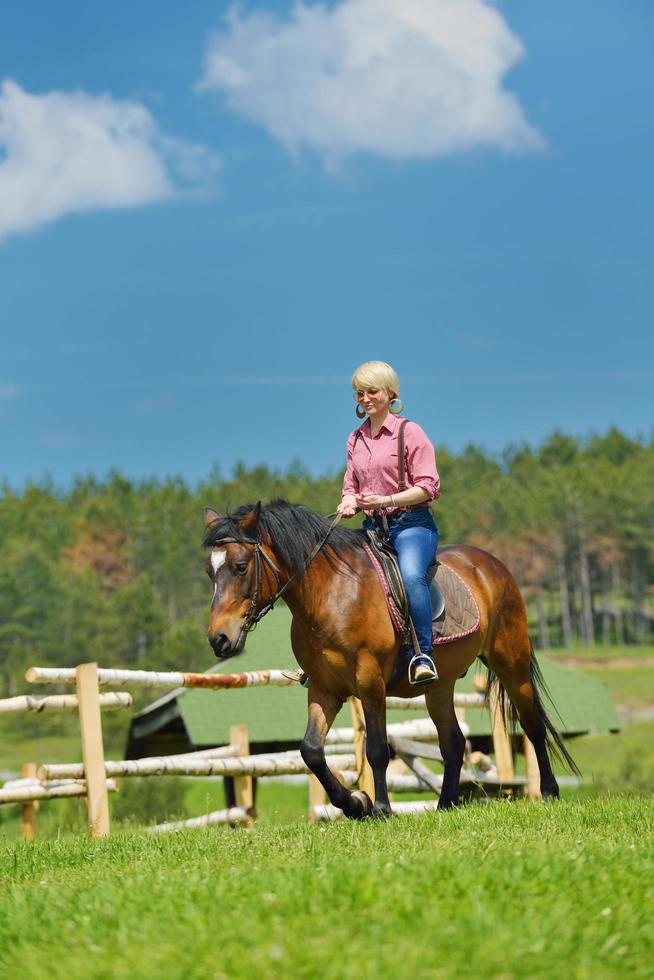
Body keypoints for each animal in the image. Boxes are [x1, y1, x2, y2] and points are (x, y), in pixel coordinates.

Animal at [202, 502, 576, 816]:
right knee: (453, 742)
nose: (219, 639)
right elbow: (311, 750)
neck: (331, 595)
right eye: (210, 572)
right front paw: (355, 804)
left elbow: (378, 749)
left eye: (240, 566)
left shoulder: (369, 682)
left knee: (532, 724)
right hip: (440, 686)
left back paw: (549, 792)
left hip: (511, 662)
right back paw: (445, 804)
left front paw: (380, 808)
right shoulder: (325, 687)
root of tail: (491, 564)